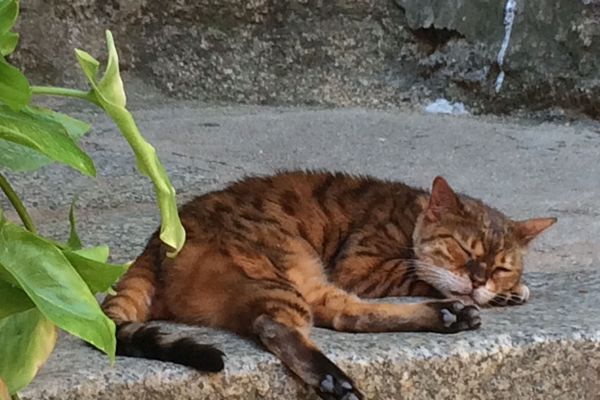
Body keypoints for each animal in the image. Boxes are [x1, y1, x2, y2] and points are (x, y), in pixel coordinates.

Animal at [101, 170, 556, 398]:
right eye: (463, 249)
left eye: (501, 266)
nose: (479, 280)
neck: (412, 214)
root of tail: (154, 246)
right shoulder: (362, 265)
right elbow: (424, 274)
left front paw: (506, 292)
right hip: (282, 267)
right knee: (276, 325)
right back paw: (334, 380)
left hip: (305, 277)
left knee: (346, 317)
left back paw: (449, 316)